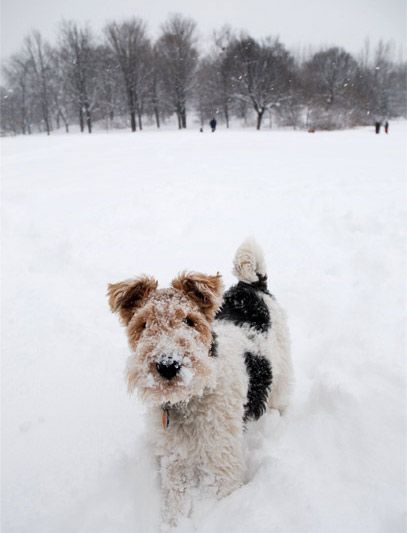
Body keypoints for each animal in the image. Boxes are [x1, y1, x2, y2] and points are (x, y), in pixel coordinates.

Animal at [107, 238, 294, 524]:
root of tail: (252, 287)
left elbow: (214, 496)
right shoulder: (174, 458)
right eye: (143, 323)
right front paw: (174, 524)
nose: (168, 365)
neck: (190, 398)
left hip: (281, 377)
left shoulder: (221, 459)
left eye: (189, 320)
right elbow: (176, 500)